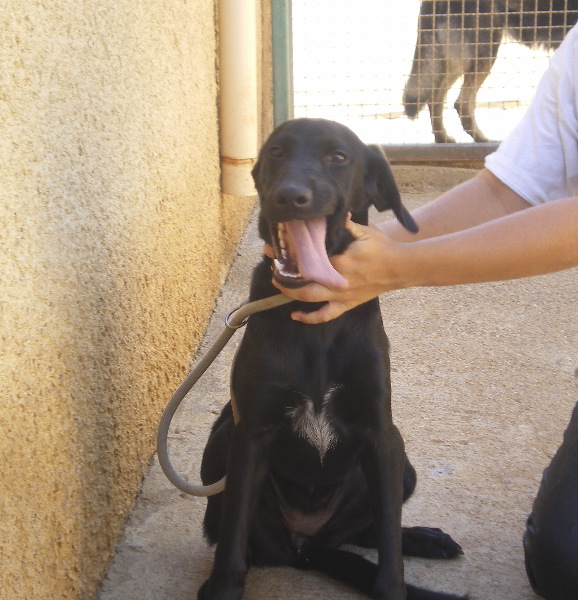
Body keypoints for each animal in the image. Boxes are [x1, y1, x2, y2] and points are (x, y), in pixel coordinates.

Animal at [402, 0, 576, 144]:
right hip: (484, 52)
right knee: (462, 103)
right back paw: (482, 139)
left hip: (457, 60)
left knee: (435, 98)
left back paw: (442, 138)